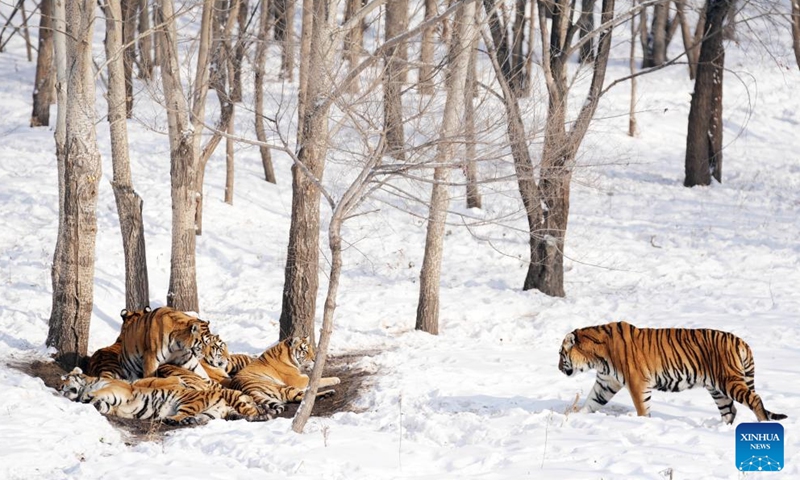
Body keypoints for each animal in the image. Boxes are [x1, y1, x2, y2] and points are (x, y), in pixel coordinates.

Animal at [59, 370, 272, 426]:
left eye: (65, 379)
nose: (60, 388)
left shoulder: (119, 389)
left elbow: (101, 393)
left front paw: (88, 397)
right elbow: (103, 405)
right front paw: (92, 403)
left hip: (188, 401)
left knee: (181, 414)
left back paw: (172, 419)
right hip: (210, 413)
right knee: (200, 418)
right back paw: (189, 421)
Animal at [560, 320, 792, 422]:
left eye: (561, 354)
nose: (559, 368)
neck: (597, 358)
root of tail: (741, 341)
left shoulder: (637, 383)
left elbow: (642, 408)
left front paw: (644, 423)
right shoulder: (606, 382)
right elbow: (592, 401)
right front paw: (578, 415)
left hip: (729, 381)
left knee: (754, 399)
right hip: (717, 389)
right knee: (730, 410)